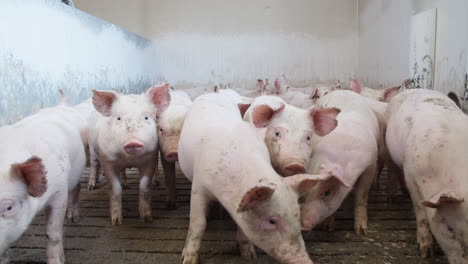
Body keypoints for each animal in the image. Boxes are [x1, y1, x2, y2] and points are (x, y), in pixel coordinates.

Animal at [87, 83, 170, 225]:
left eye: (146, 117)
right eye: (119, 118)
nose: (132, 142)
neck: (129, 158)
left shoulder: (150, 158)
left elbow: (144, 187)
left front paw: (146, 218)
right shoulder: (107, 161)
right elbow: (115, 189)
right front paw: (116, 222)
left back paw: (127, 185)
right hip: (92, 148)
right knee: (93, 164)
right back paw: (91, 187)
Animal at [176, 92, 336, 262]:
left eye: (297, 215)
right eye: (272, 221)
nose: (304, 260)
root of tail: (214, 93)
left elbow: (243, 228)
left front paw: (249, 256)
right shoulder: (198, 187)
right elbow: (198, 224)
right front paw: (187, 260)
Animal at [300, 90, 380, 235]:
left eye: (327, 192)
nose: (302, 227)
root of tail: (343, 90)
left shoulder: (371, 165)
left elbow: (361, 196)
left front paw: (361, 232)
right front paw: (328, 228)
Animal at [384, 88, 468, 262]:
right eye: (449, 228)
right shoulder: (412, 175)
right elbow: (420, 210)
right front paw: (425, 253)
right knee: (393, 169)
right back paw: (392, 197)